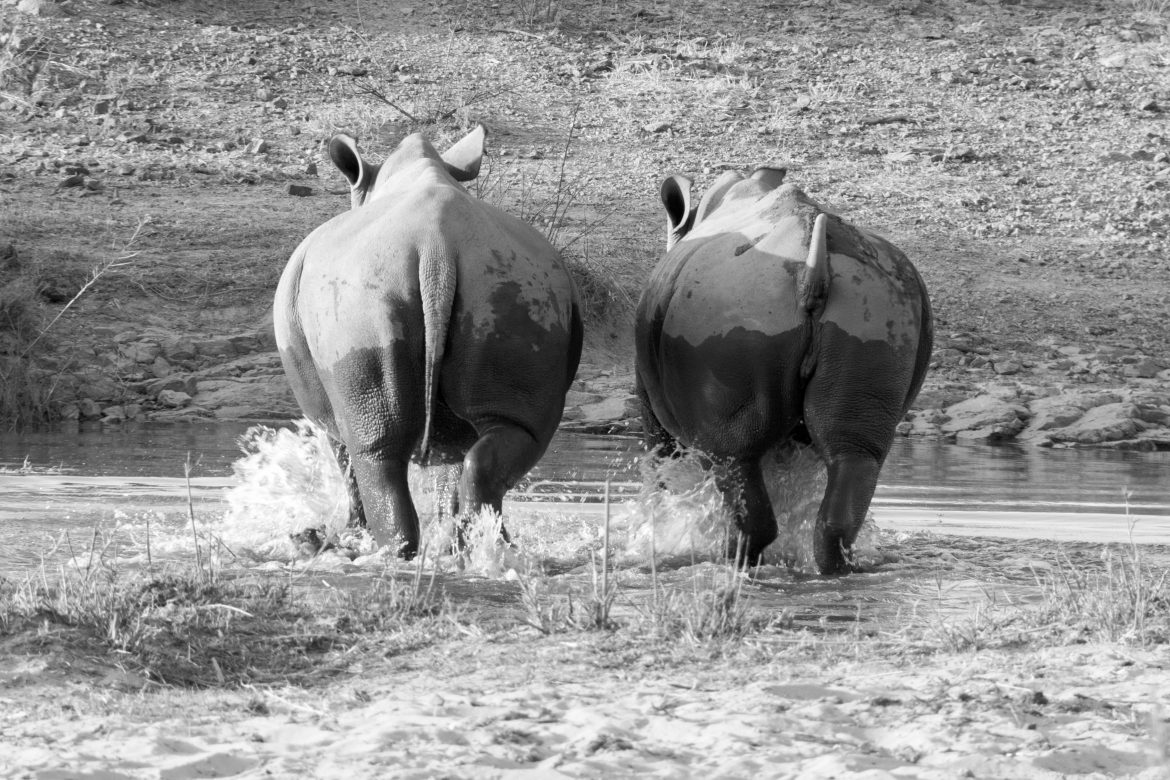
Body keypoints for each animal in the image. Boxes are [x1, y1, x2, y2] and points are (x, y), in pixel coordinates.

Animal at [274, 124, 583, 558]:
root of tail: (437, 247)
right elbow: (448, 473)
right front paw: (450, 542)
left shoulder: (328, 415)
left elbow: (346, 462)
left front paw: (353, 532)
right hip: (514, 289)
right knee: (511, 435)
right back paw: (488, 547)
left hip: (360, 304)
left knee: (375, 453)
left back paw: (387, 550)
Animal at [635, 168, 933, 574]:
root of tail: (813, 268)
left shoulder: (650, 404)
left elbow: (661, 468)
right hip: (877, 311)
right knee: (855, 454)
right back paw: (834, 568)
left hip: (733, 307)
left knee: (733, 458)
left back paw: (730, 561)